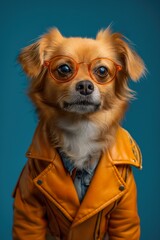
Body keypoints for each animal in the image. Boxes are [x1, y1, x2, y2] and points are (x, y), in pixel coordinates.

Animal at [12, 27, 145, 239]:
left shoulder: (124, 214)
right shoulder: (29, 207)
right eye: (64, 69)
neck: (81, 127)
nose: (85, 86)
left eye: (102, 71)